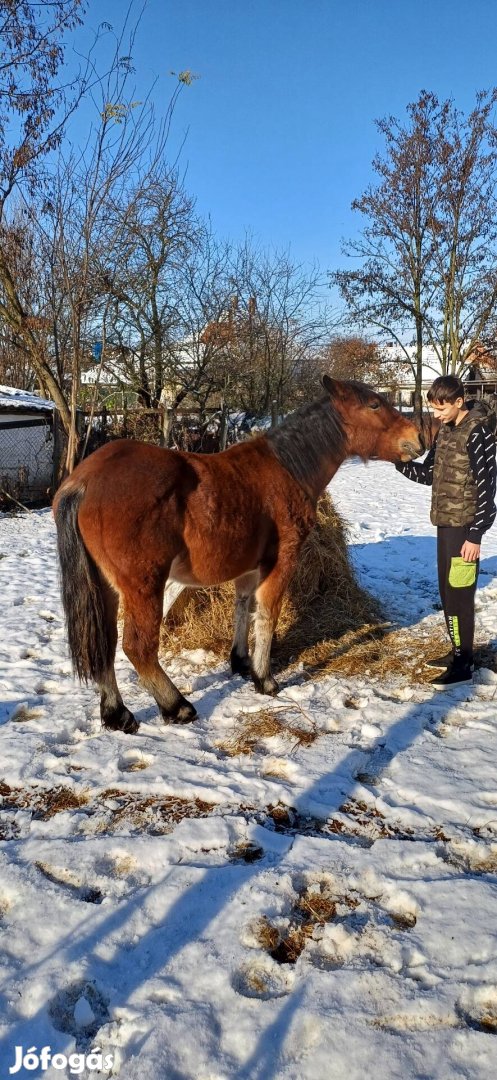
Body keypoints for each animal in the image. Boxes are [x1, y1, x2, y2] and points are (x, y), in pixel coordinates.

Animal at [51, 375, 423, 738]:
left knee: (106, 644)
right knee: (137, 647)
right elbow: (268, 613)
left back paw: (117, 715)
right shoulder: (281, 561)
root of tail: (85, 480)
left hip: (107, 587)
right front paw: (265, 679)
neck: (288, 469)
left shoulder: (249, 566)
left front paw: (241, 661)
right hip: (144, 586)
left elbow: (244, 606)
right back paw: (176, 706)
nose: (418, 438)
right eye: (374, 404)